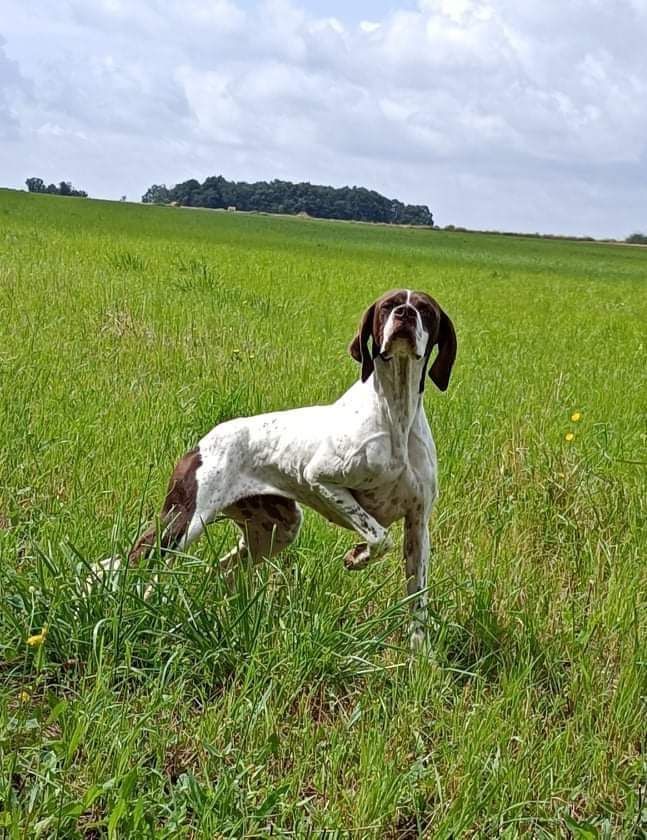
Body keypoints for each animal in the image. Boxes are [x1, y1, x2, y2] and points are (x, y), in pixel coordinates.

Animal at [97, 288, 460, 644]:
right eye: (388, 306)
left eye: (426, 310)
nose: (405, 314)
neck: (396, 415)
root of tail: (201, 443)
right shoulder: (320, 479)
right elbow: (379, 537)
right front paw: (357, 557)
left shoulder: (418, 523)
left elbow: (418, 601)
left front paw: (420, 657)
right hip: (183, 523)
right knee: (127, 562)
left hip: (275, 530)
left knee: (219, 571)